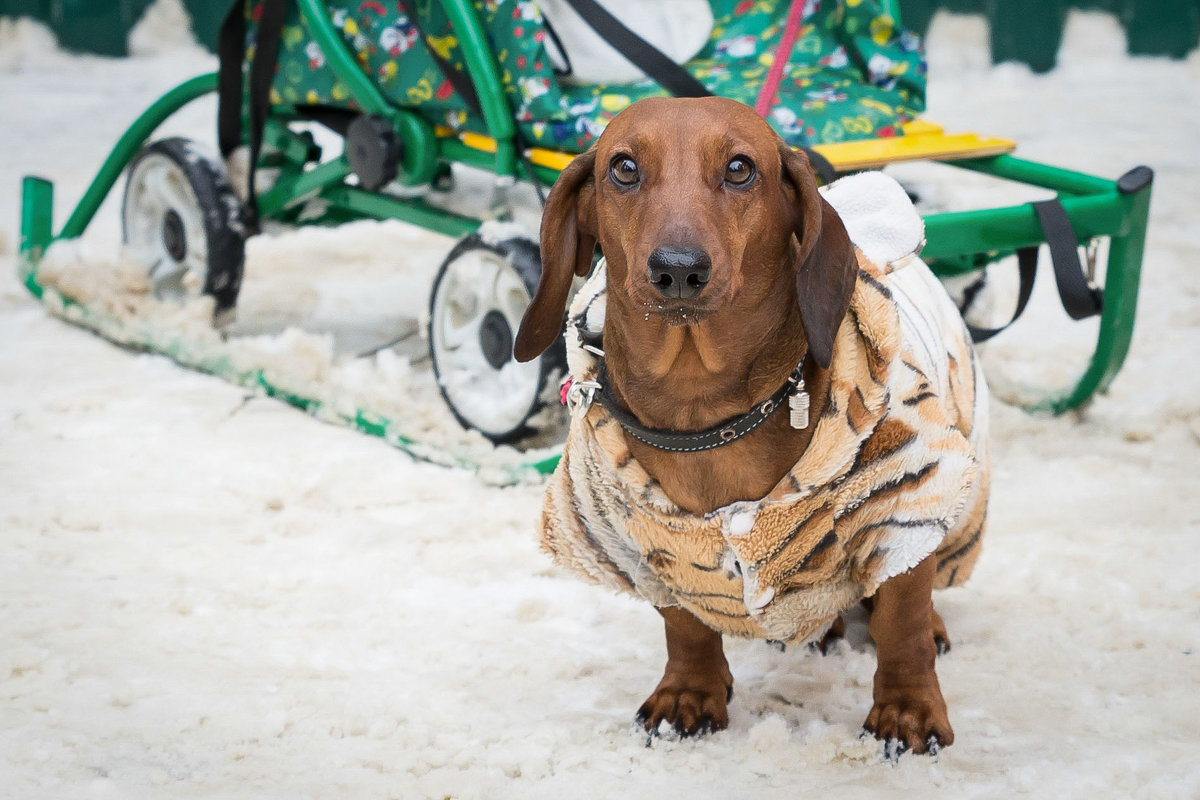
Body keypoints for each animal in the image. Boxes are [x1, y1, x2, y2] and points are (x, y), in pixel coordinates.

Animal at [511, 97, 988, 753]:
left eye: (740, 168)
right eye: (624, 168)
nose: (678, 270)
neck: (704, 413)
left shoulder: (903, 502)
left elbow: (902, 625)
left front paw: (908, 711)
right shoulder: (644, 545)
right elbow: (683, 626)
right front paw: (688, 695)